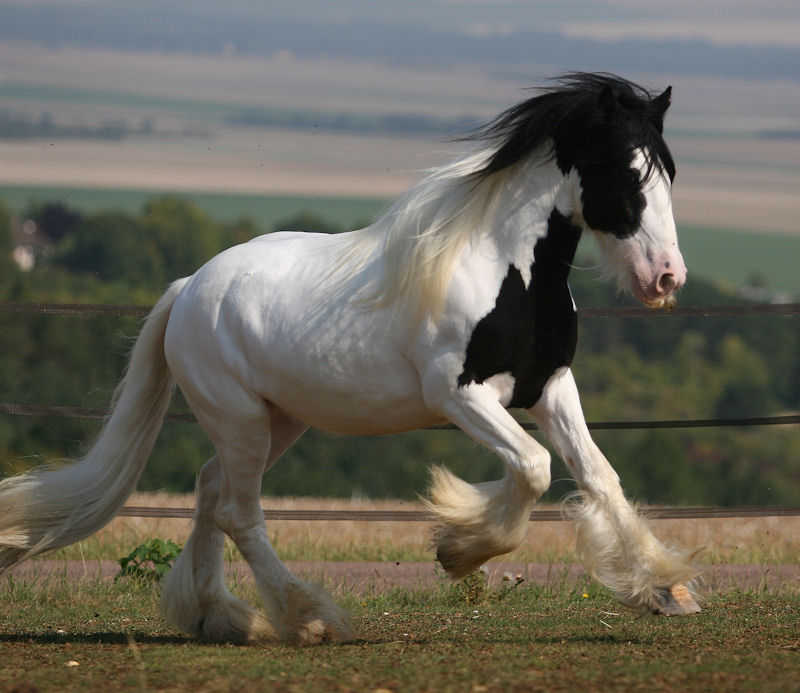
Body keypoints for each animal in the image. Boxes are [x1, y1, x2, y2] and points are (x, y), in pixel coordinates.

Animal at [0, 73, 700, 640]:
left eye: (669, 175)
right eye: (627, 175)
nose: (667, 278)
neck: (512, 277)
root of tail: (189, 288)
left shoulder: (550, 388)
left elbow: (598, 474)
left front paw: (665, 589)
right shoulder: (460, 395)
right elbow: (531, 467)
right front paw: (459, 546)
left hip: (276, 420)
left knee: (208, 489)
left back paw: (218, 618)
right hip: (241, 419)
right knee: (237, 512)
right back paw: (309, 620)